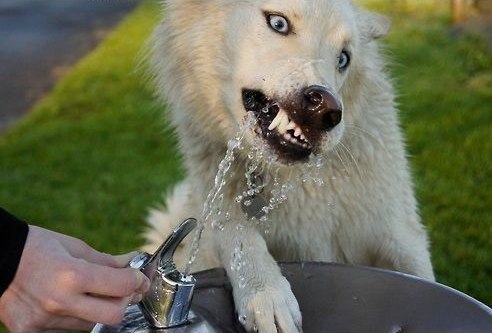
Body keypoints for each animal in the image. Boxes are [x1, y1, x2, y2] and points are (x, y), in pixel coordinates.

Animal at [142, 0, 434, 332]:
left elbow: (421, 275)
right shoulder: (216, 197)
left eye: (343, 59)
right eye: (278, 23)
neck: (300, 184)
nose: (326, 110)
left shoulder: (401, 233)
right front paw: (266, 297)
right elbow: (239, 238)